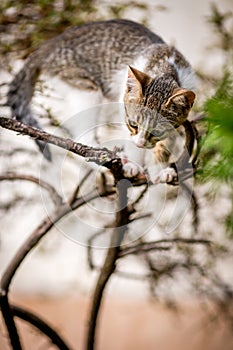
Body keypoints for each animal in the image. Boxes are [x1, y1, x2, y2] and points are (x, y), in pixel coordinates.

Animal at [6, 17, 196, 179]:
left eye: (157, 131)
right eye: (133, 124)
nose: (140, 144)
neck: (166, 68)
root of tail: (50, 43)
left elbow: (165, 143)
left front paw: (161, 169)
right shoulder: (123, 109)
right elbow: (128, 137)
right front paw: (133, 164)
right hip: (85, 87)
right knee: (82, 136)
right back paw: (100, 157)